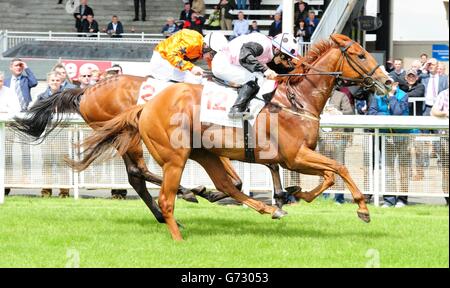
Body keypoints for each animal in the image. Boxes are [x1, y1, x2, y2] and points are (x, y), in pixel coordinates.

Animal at [66, 34, 390, 241]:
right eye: (360, 54)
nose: (388, 81)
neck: (296, 100)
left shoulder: (295, 157)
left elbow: (330, 175)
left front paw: (295, 193)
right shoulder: (294, 156)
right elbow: (340, 168)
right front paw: (362, 208)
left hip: (202, 152)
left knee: (222, 184)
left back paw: (262, 207)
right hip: (167, 153)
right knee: (147, 180)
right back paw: (181, 217)